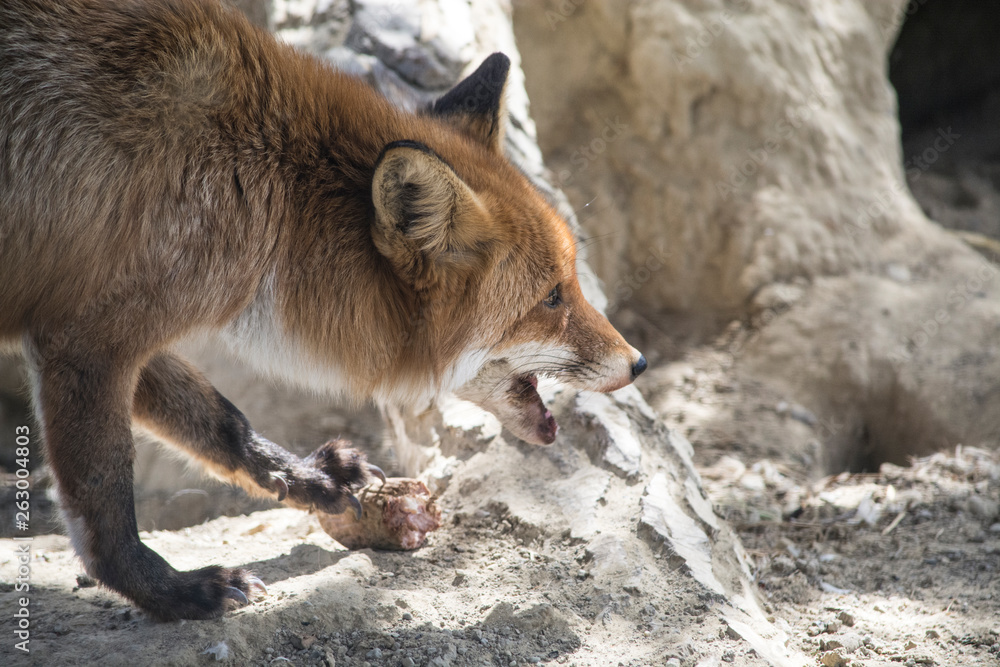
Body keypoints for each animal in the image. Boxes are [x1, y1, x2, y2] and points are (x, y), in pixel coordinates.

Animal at [0, 0, 646, 621]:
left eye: (572, 281)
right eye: (552, 297)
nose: (639, 362)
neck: (266, 190)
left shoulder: (118, 323)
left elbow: (222, 421)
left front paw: (305, 477)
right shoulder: (85, 340)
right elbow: (104, 502)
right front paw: (168, 591)